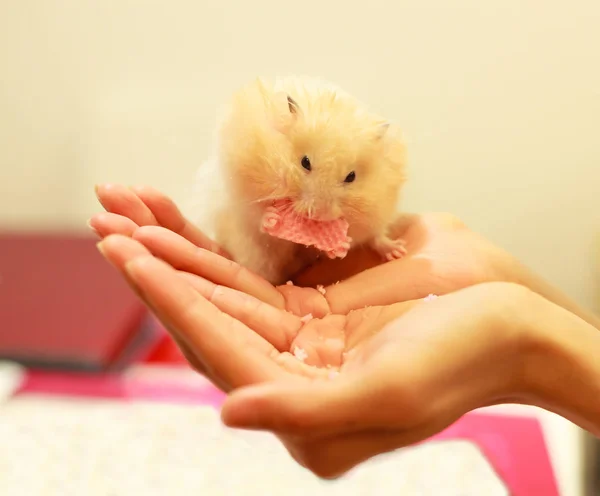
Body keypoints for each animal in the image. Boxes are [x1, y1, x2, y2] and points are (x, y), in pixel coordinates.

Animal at [190, 75, 408, 284]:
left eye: (351, 176)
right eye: (305, 162)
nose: (317, 215)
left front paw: (343, 244)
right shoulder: (239, 187)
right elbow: (255, 214)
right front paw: (271, 217)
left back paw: (397, 250)